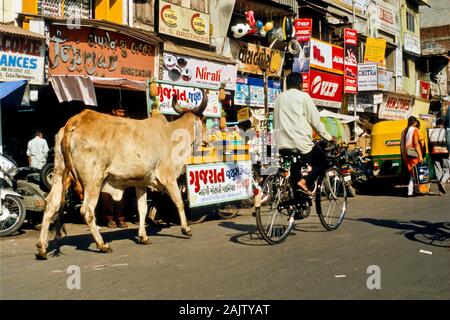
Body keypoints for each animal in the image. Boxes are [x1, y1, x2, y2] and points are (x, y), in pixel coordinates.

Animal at [35, 90, 209, 260]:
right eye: (204, 121)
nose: (208, 140)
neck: (172, 135)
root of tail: (74, 121)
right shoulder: (169, 178)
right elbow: (179, 202)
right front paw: (186, 229)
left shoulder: (141, 182)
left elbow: (142, 209)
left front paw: (143, 237)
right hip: (93, 181)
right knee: (87, 210)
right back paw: (102, 245)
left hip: (59, 175)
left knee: (50, 205)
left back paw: (42, 248)